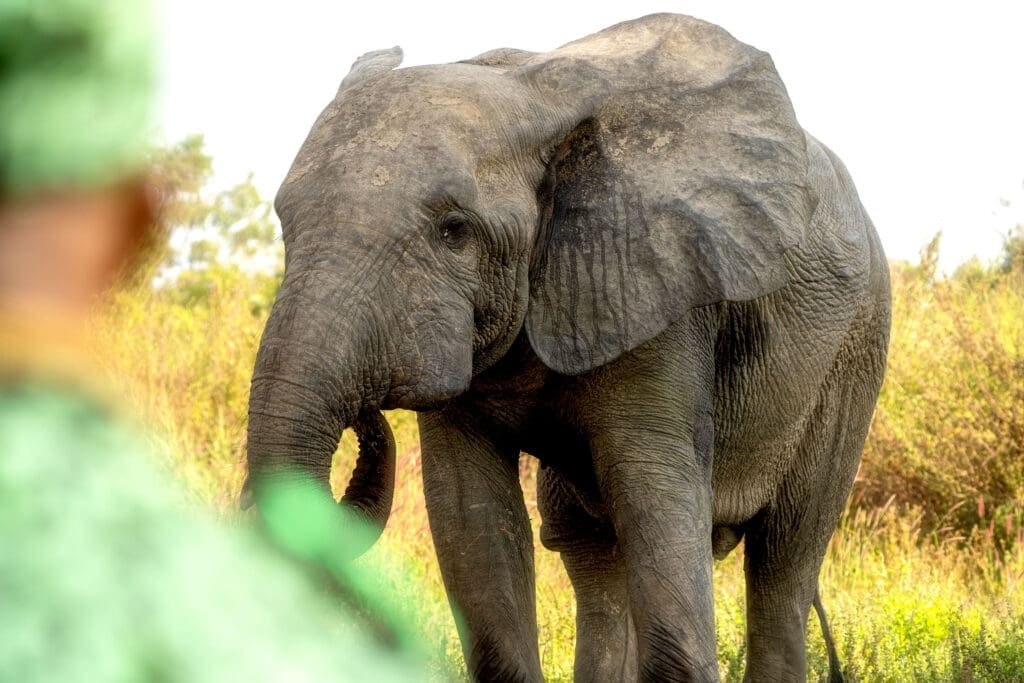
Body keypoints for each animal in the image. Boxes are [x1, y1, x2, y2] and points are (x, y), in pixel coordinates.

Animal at [243, 13, 890, 682]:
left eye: (454, 231)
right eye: (285, 223)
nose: (365, 418)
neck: (534, 98)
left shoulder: (663, 295)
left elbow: (657, 498)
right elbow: (472, 520)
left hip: (854, 352)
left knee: (784, 560)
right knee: (592, 549)